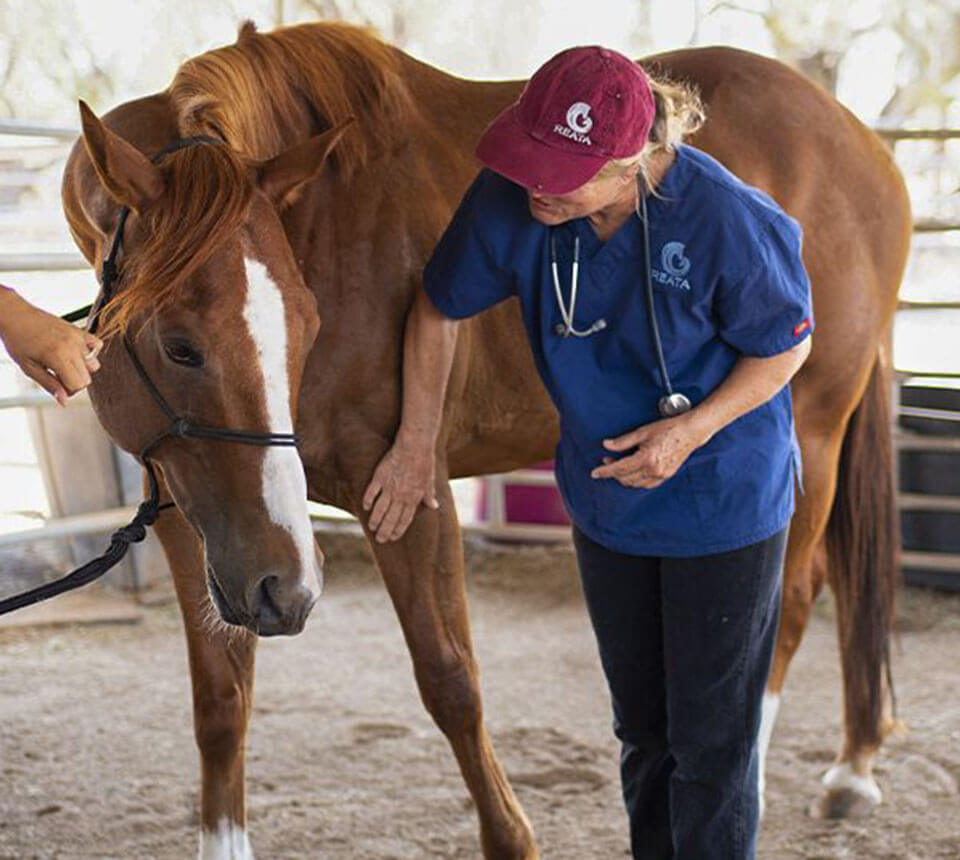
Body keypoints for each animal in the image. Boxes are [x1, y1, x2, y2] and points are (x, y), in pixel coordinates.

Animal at [63, 20, 912, 860]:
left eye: (306, 324)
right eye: (179, 346)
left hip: (814, 432)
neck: (332, 219)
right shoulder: (192, 517)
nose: (287, 588)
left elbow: (451, 681)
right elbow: (221, 699)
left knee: (791, 604)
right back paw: (855, 764)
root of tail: (860, 142)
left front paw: (510, 836)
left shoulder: (411, 494)